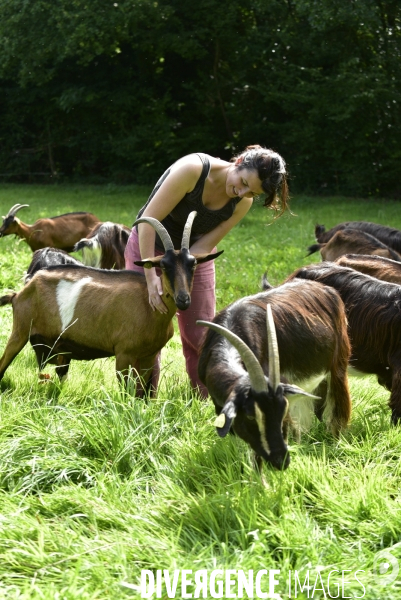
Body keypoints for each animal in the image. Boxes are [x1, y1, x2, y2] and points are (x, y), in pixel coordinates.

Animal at [0, 211, 222, 394]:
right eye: (164, 265)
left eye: (193, 264)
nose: (183, 299)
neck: (150, 308)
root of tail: (19, 293)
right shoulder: (123, 354)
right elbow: (126, 390)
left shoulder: (149, 355)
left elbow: (142, 387)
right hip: (20, 331)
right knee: (3, 364)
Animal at [197, 278, 350, 472]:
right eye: (251, 415)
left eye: (280, 412)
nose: (281, 461)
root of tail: (326, 289)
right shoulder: (220, 404)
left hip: (338, 365)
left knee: (338, 406)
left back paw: (336, 441)